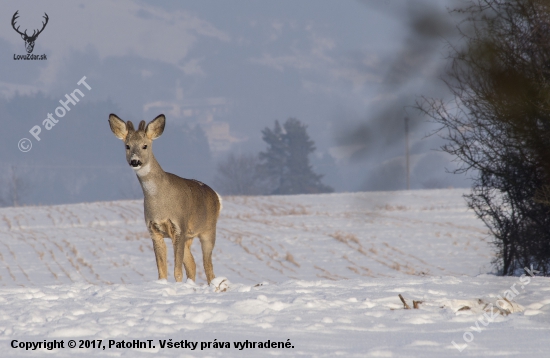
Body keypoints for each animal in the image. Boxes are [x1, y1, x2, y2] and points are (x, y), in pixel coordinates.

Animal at [109, 113, 223, 284]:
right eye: (127, 146)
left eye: (145, 146)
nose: (135, 161)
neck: (160, 202)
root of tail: (216, 196)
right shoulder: (154, 230)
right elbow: (162, 271)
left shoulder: (179, 226)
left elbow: (177, 271)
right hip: (189, 237)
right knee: (192, 264)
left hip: (208, 230)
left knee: (208, 266)